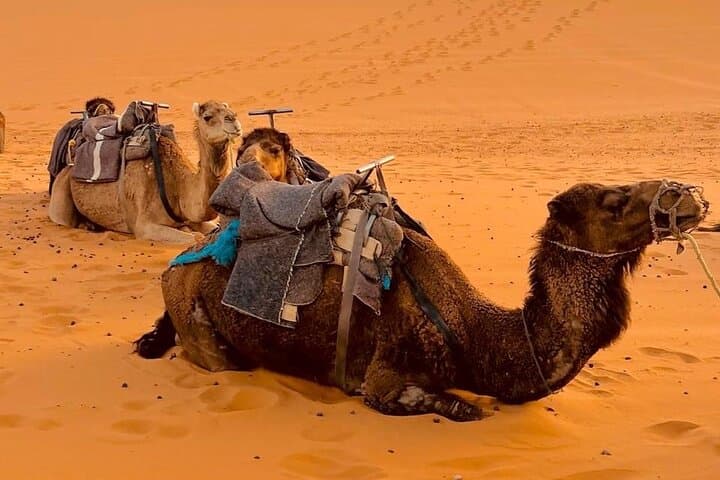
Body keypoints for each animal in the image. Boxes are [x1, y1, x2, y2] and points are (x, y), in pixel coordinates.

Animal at [48, 100, 241, 243]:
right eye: (207, 117)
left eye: (230, 110)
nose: (234, 121)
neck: (179, 187)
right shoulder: (144, 226)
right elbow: (196, 238)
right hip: (61, 194)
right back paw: (87, 225)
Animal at [136, 179, 707, 421]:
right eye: (613, 201)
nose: (687, 196)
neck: (474, 333)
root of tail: (175, 263)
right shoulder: (381, 378)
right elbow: (451, 407)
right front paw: (461, 405)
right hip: (199, 325)